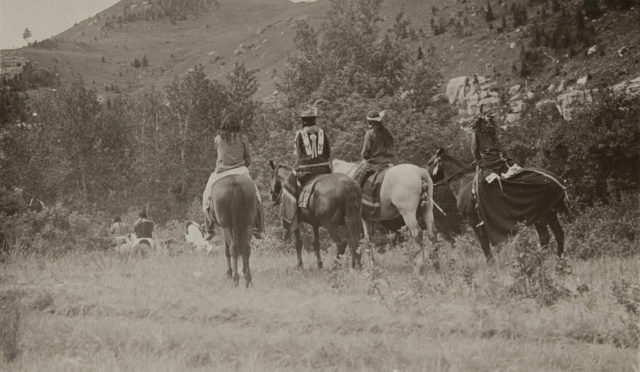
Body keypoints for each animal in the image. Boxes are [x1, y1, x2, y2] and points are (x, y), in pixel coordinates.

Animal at [428, 147, 568, 264]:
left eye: (429, 163)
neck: (463, 183)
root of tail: (557, 180)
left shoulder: (474, 222)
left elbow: (484, 244)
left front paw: (491, 265)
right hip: (550, 212)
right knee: (559, 234)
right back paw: (559, 261)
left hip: (539, 215)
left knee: (545, 236)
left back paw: (538, 260)